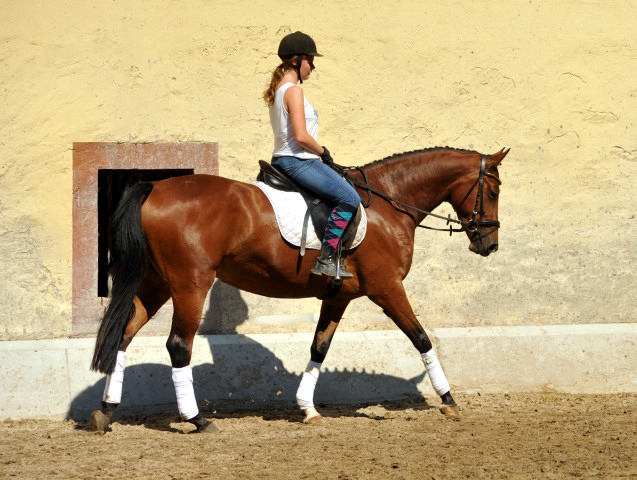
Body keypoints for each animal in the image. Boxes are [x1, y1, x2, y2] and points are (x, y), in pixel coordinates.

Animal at [89, 145, 510, 432]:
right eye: (493, 191)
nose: (488, 245)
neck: (389, 205)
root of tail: (154, 188)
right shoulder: (387, 289)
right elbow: (421, 338)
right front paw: (449, 399)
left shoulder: (339, 296)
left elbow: (319, 348)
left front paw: (307, 408)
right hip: (190, 283)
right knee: (178, 345)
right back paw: (196, 419)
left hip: (156, 283)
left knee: (124, 335)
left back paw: (106, 411)